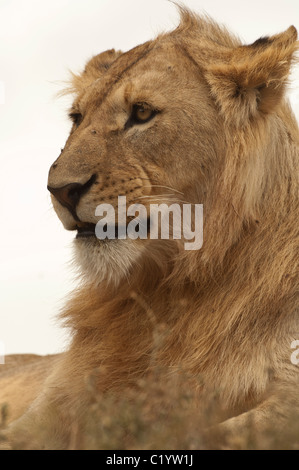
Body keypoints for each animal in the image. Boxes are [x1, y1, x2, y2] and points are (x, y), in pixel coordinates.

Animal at [0, 7, 299, 448]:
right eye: (77, 118)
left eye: (141, 113)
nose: (61, 190)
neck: (164, 289)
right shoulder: (46, 413)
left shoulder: (284, 392)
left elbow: (216, 434)